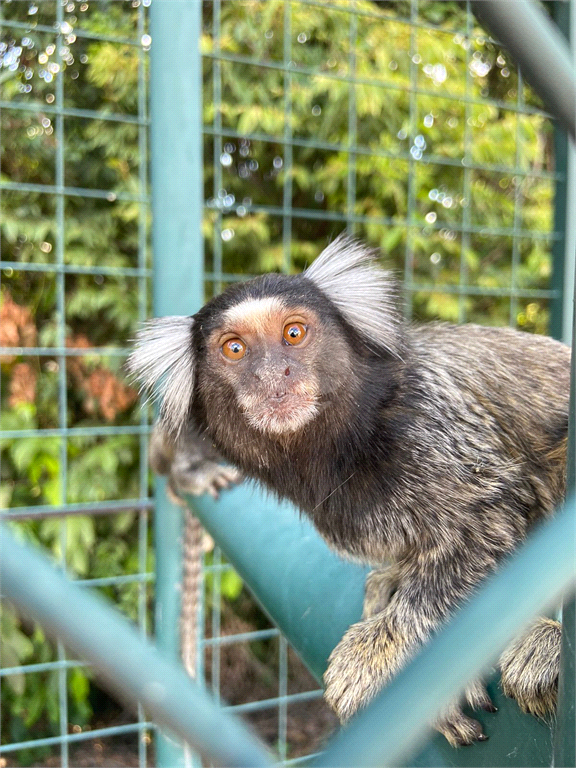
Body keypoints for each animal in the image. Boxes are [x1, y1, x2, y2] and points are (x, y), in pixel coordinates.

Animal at [127, 237, 572, 748]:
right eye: (234, 349)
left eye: (294, 333)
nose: (274, 374)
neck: (336, 449)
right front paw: (390, 587)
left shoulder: (432, 426)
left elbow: (488, 521)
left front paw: (378, 651)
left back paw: (548, 642)